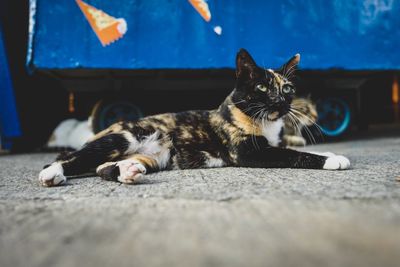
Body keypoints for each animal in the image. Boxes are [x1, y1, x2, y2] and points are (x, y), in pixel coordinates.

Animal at [39, 49, 348, 187]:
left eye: (287, 89)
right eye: (262, 88)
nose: (281, 102)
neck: (264, 122)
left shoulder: (271, 142)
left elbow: (290, 147)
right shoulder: (247, 152)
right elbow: (293, 154)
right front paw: (333, 159)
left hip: (155, 156)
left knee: (103, 166)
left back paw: (128, 171)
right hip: (124, 136)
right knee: (73, 158)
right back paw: (53, 173)